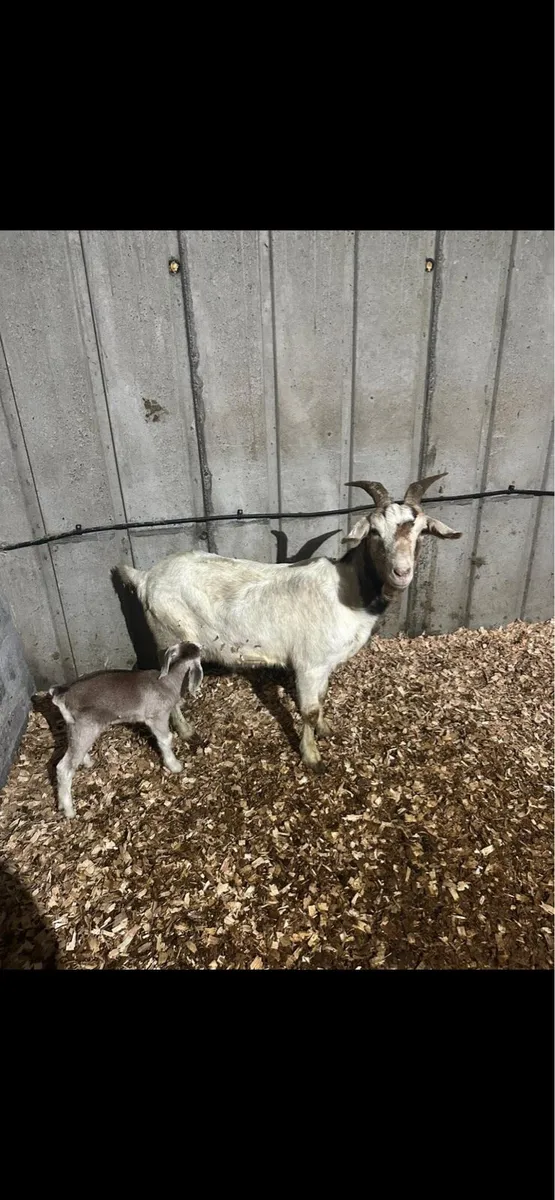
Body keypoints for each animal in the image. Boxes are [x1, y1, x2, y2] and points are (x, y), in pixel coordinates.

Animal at [48, 642, 202, 818]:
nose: (200, 645)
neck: (167, 682)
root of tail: (61, 695)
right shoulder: (157, 716)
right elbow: (165, 739)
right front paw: (175, 766)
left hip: (75, 727)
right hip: (86, 727)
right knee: (63, 768)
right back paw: (69, 811)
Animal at [118, 473, 461, 770]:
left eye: (421, 532)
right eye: (374, 532)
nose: (401, 572)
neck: (349, 590)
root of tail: (145, 578)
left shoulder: (325, 663)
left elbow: (321, 699)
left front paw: (326, 729)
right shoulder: (309, 662)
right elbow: (307, 710)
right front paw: (312, 756)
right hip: (169, 635)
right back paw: (188, 732)